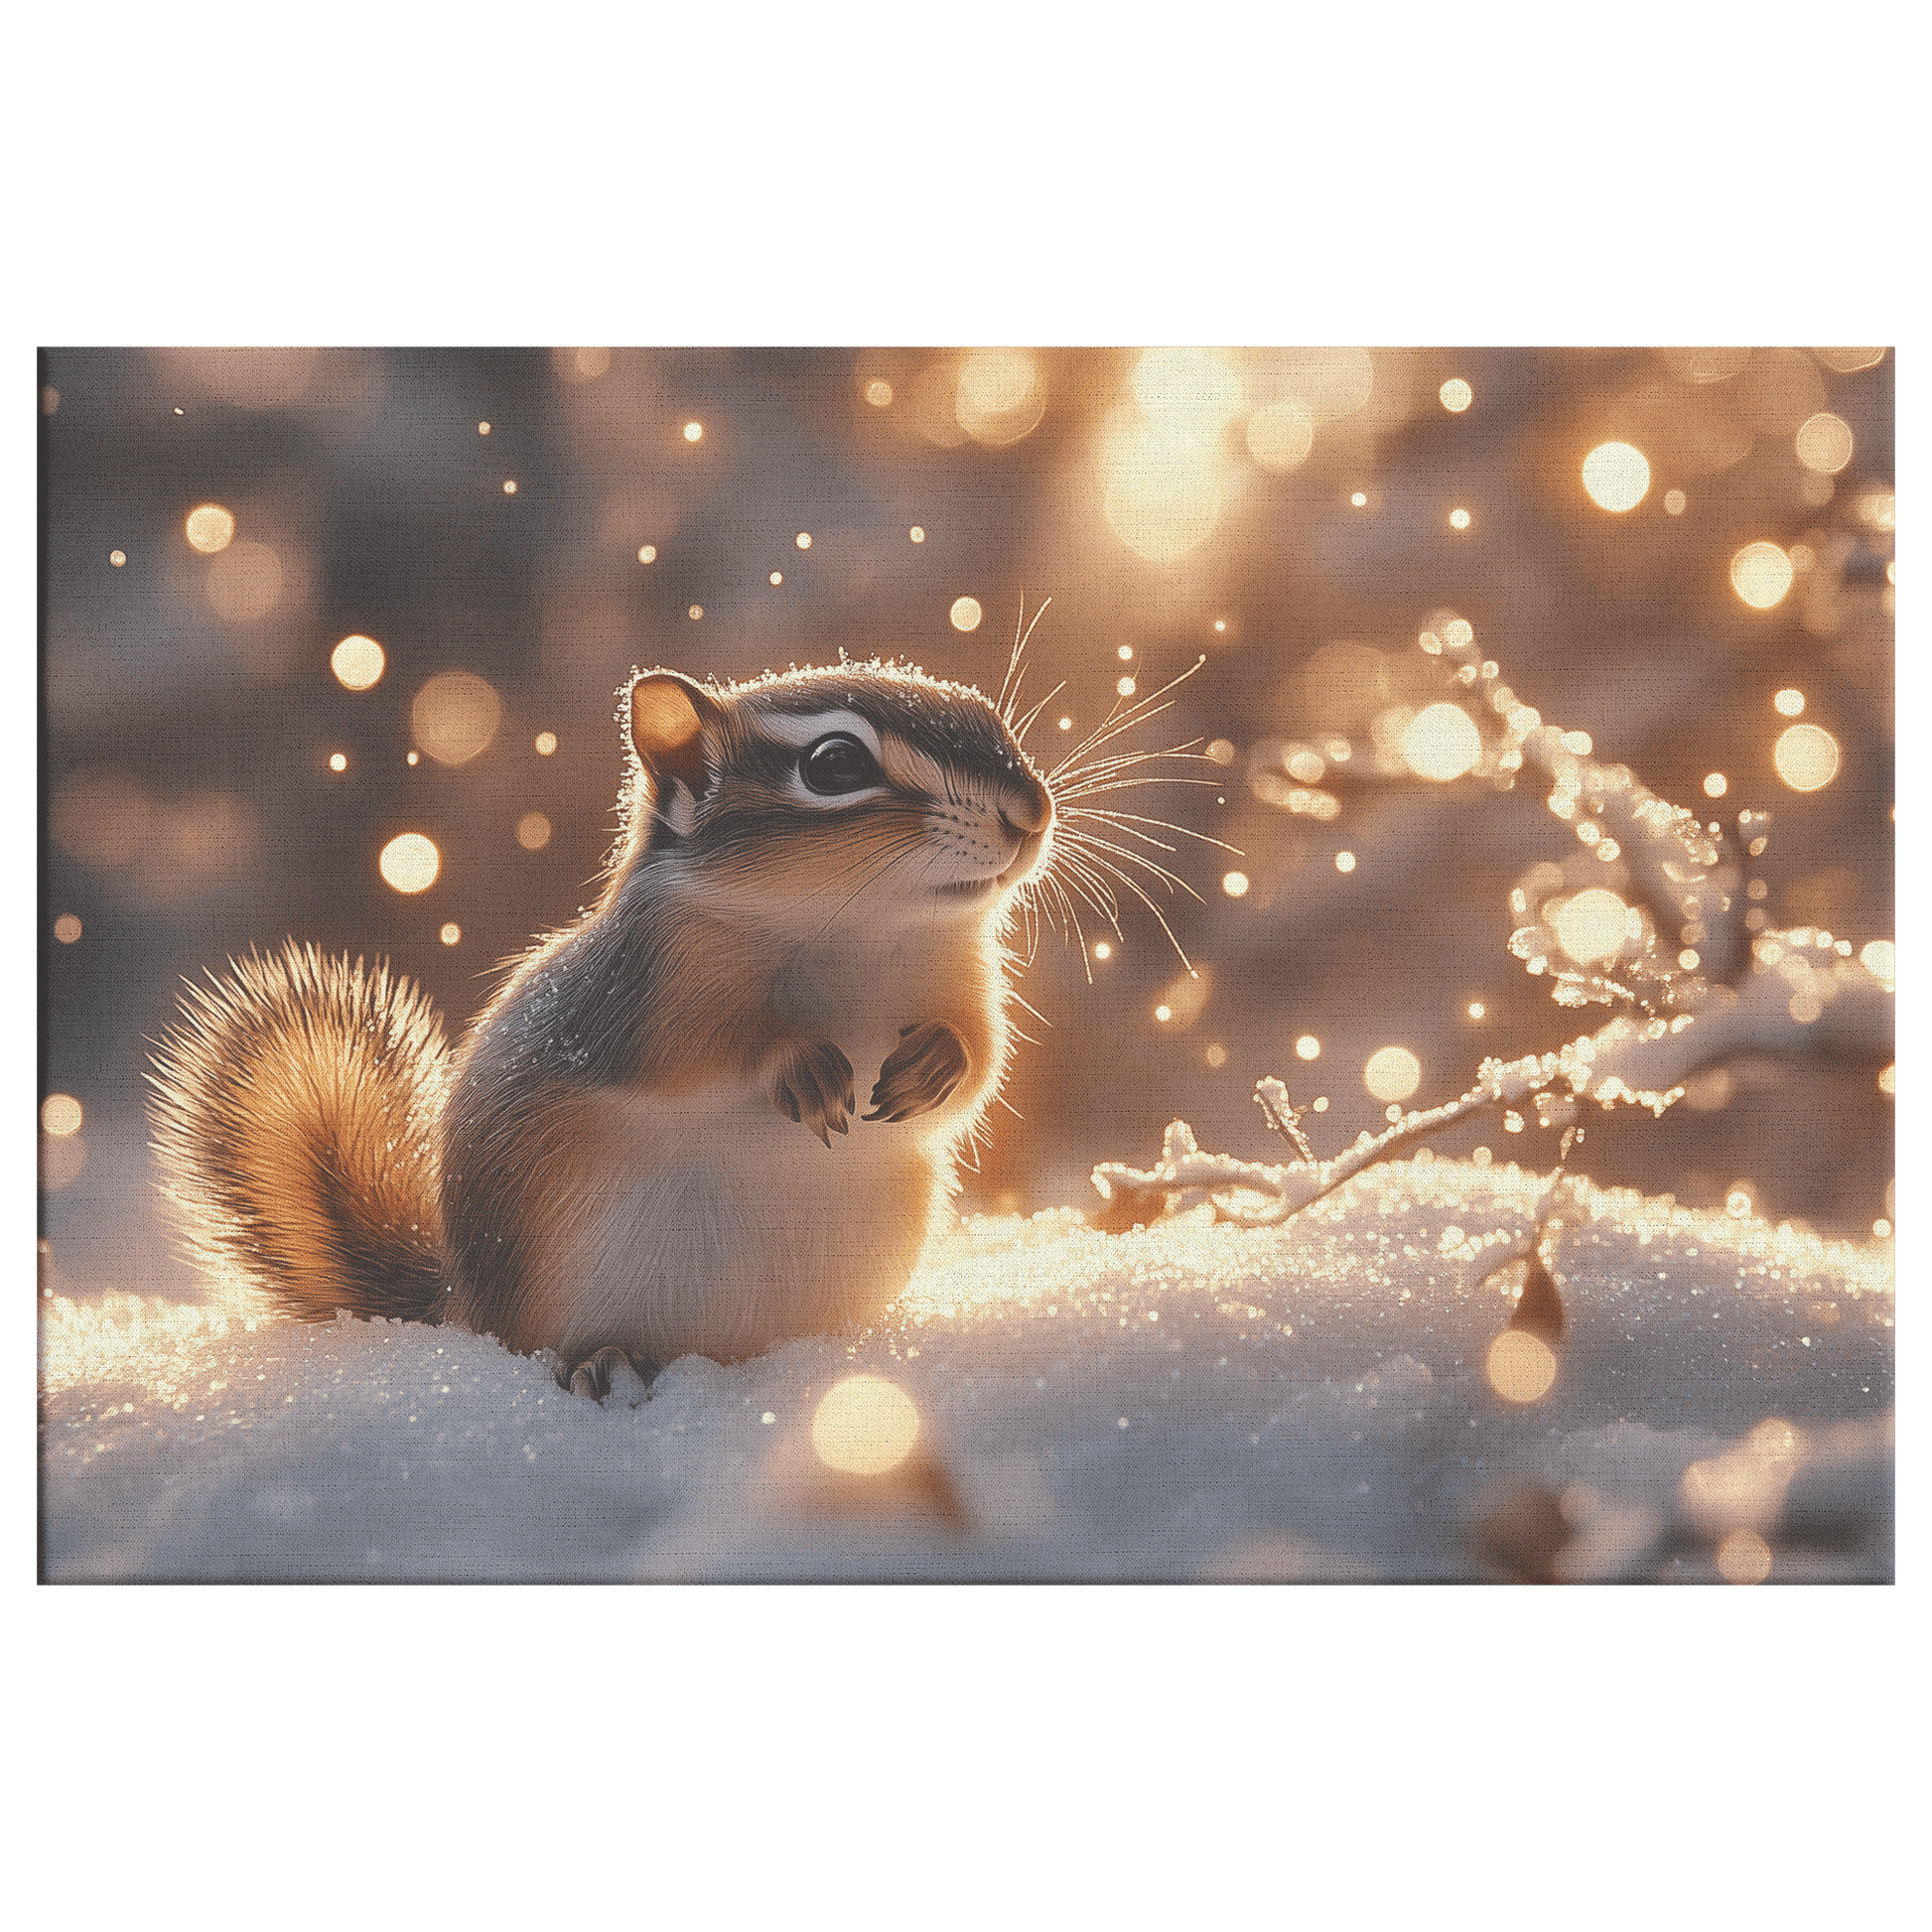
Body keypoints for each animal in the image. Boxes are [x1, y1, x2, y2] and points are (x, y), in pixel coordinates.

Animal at [151, 661, 1055, 1402]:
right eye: (836, 765)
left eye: (990, 716)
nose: (1032, 811)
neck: (861, 929)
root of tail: (457, 1306)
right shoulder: (637, 1002)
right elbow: (701, 1052)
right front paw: (798, 1062)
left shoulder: (968, 985)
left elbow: (981, 1067)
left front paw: (935, 1063)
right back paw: (605, 1360)